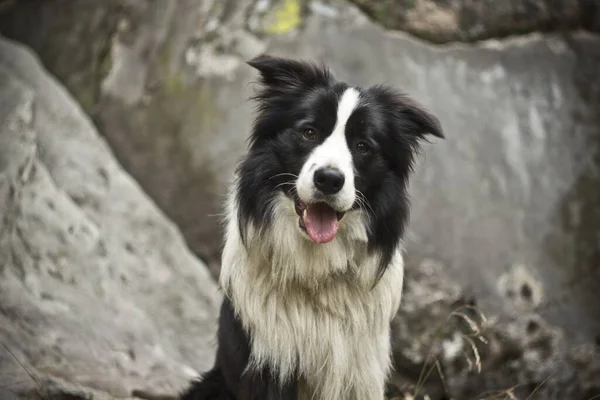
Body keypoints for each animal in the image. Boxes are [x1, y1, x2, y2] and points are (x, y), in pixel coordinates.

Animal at [184, 54, 446, 400]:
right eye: (309, 132)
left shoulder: (358, 372)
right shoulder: (268, 360)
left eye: (363, 146)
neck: (316, 271)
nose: (329, 180)